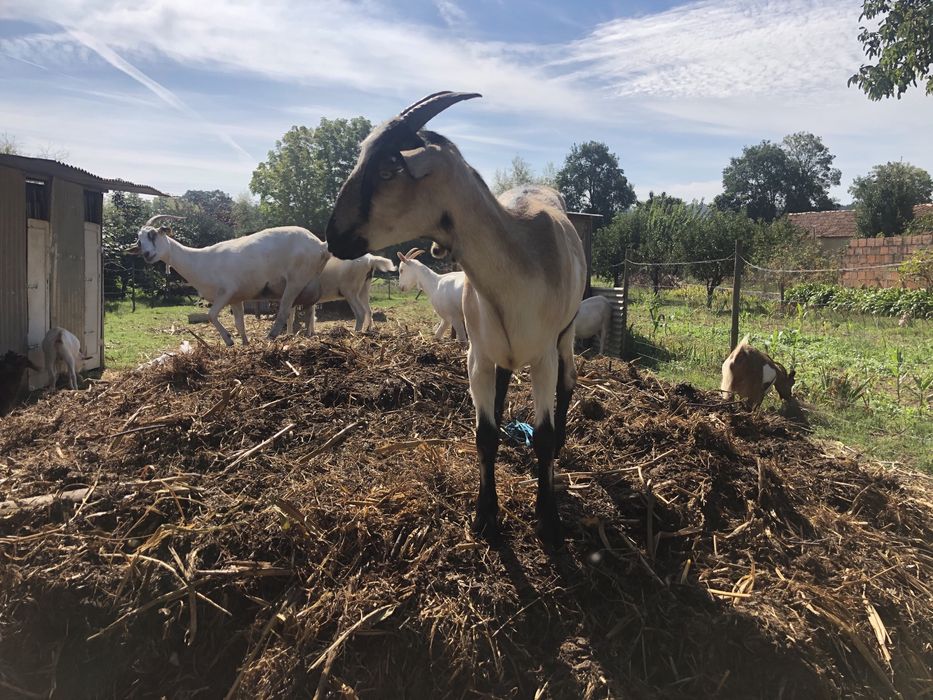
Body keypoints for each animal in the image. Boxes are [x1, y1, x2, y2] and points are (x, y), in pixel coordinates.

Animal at [128, 216, 329, 346]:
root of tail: (320, 245)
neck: (199, 261)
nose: (147, 254)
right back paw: (308, 334)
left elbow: (211, 315)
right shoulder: (236, 298)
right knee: (310, 310)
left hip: (295, 281)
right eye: (139, 240)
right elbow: (240, 324)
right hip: (307, 282)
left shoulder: (226, 292)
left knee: (284, 312)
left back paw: (270, 337)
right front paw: (245, 343)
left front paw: (228, 340)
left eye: (153, 234)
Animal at [326, 92, 586, 548]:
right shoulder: (477, 355)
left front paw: (549, 521)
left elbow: (543, 434)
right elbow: (483, 435)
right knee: (503, 383)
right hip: (500, 349)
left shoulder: (542, 356)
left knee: (569, 379)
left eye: (388, 169)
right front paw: (485, 517)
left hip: (565, 335)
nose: (332, 236)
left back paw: (562, 444)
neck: (514, 272)